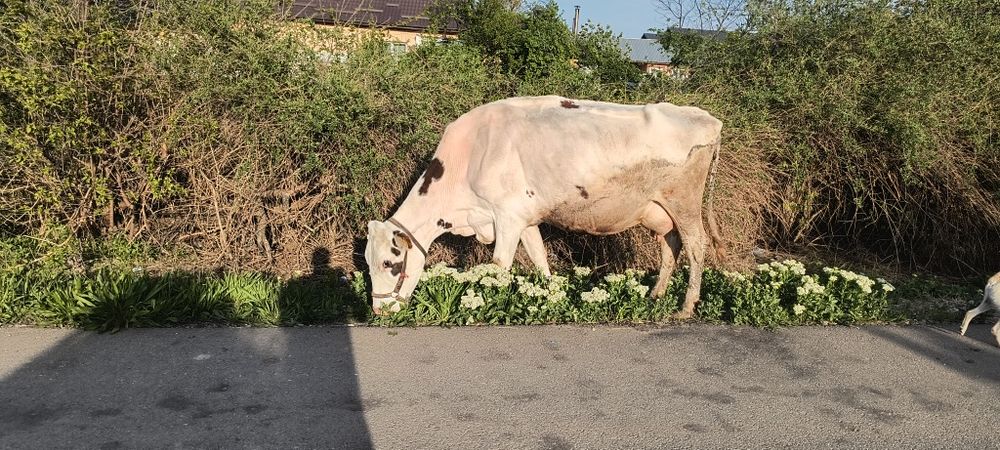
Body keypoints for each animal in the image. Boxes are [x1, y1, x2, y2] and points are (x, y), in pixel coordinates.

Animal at [364, 96, 725, 318]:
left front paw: (486, 303)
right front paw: (552, 298)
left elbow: (499, 266)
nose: (378, 311)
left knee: (695, 245)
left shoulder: (507, 217)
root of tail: (707, 117)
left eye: (388, 263)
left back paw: (686, 307)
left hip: (684, 201)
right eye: (367, 263)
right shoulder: (526, 219)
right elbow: (539, 259)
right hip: (660, 208)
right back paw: (656, 295)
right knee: (671, 244)